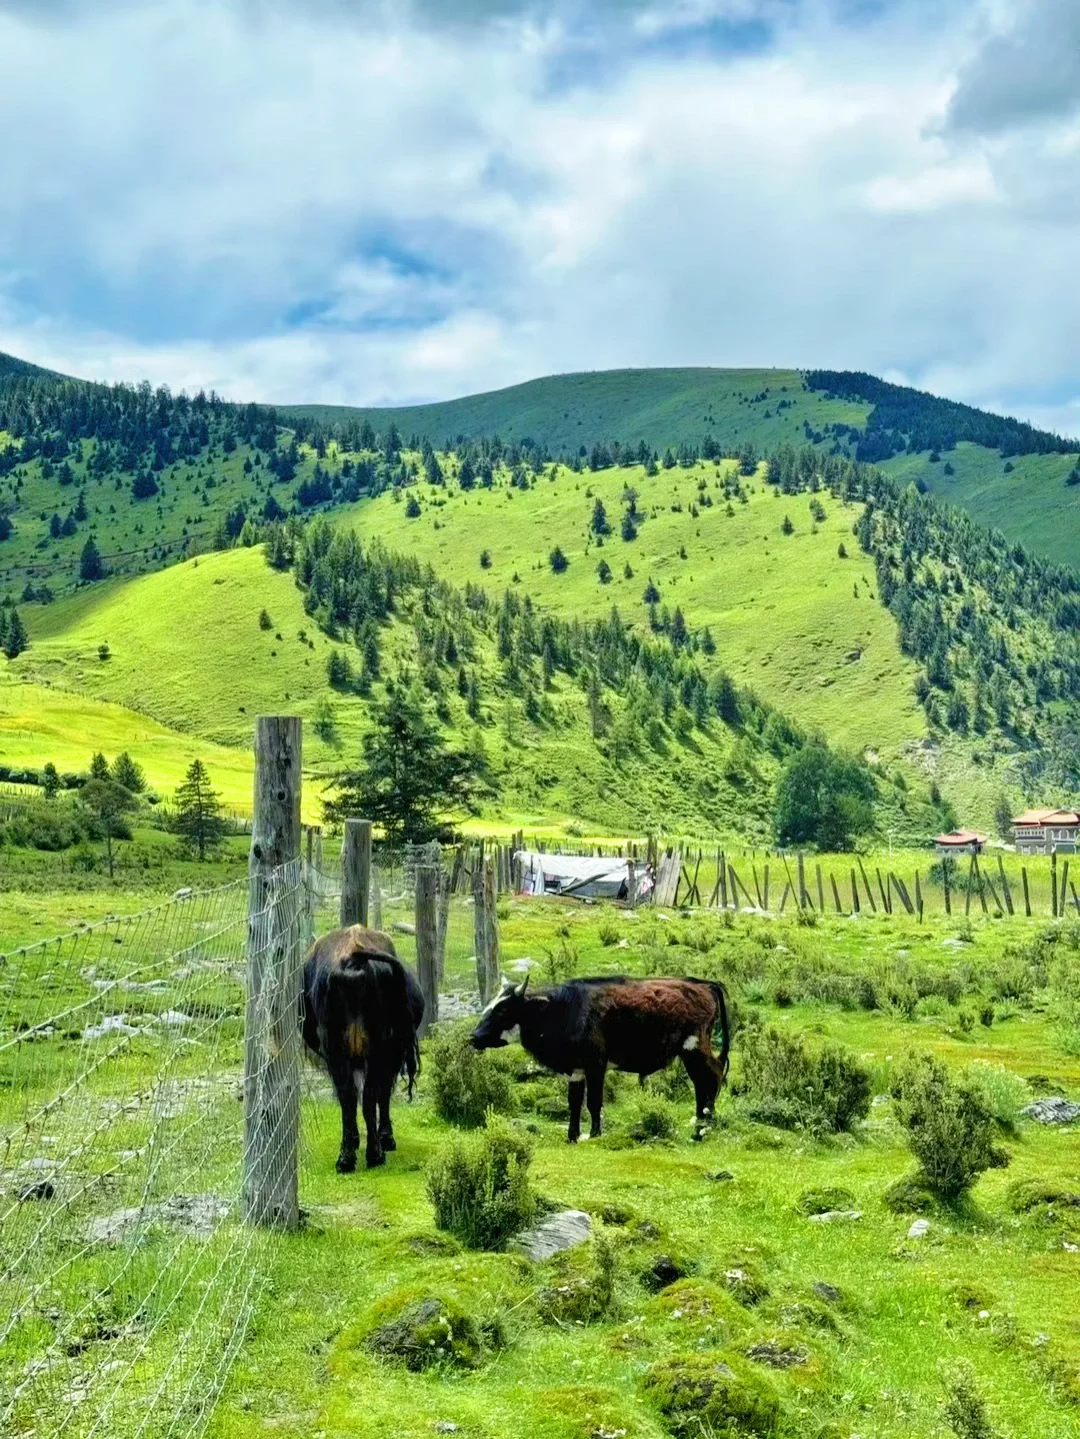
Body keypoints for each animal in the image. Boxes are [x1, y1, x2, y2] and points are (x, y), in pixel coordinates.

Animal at [304, 920, 425, 1168]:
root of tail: (354, 957)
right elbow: (381, 1093)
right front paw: (384, 1136)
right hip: (378, 1048)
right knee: (368, 1094)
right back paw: (373, 1152)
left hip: (339, 1047)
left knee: (350, 1095)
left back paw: (348, 1157)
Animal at [468, 972, 730, 1139]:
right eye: (489, 1006)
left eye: (503, 1010)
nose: (473, 1036)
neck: (563, 1010)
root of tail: (703, 984)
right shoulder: (574, 1070)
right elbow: (574, 1103)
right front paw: (572, 1136)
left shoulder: (596, 1065)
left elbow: (593, 1102)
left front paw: (595, 1134)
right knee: (704, 1082)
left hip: (694, 1048)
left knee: (711, 1077)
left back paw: (704, 1126)